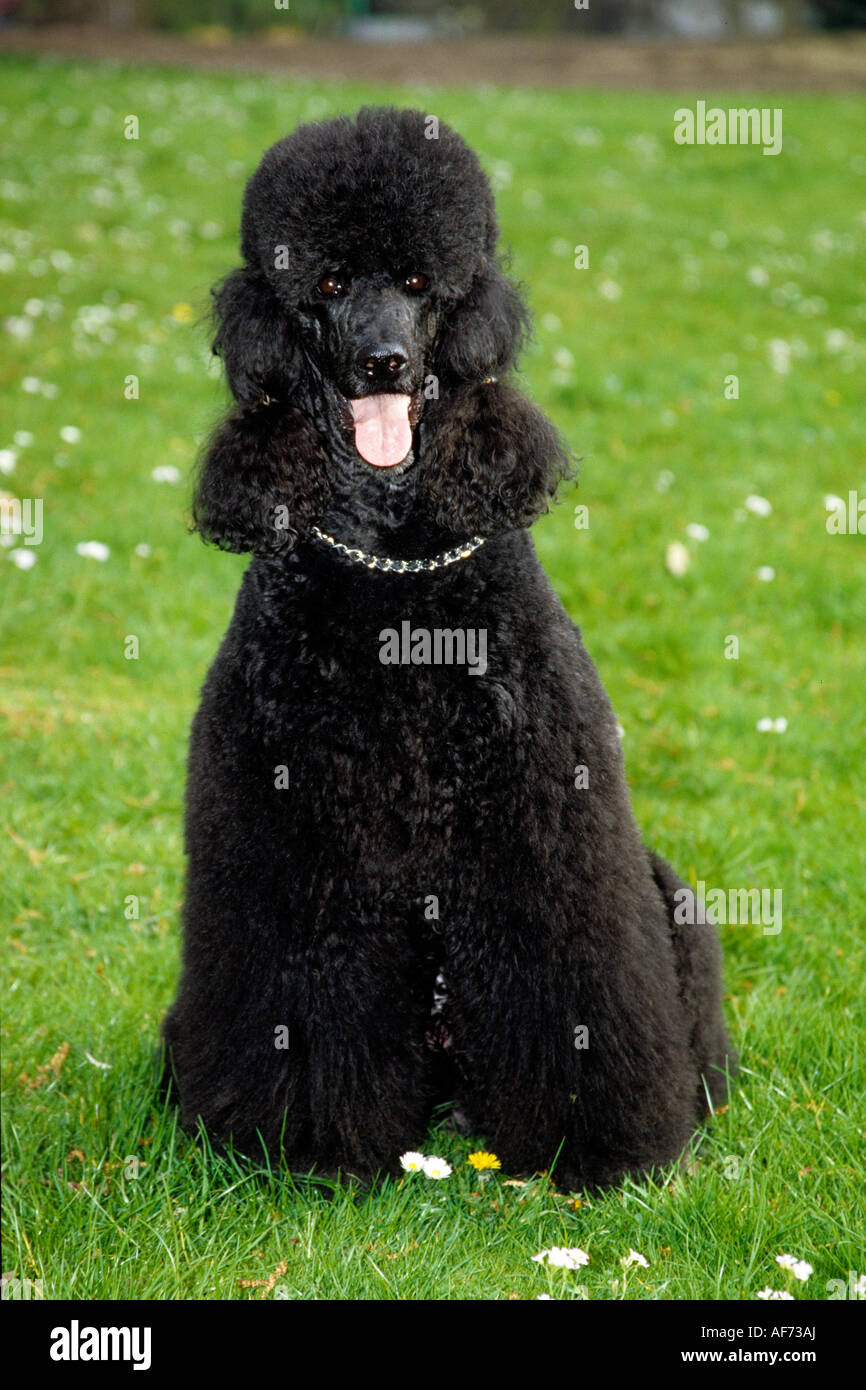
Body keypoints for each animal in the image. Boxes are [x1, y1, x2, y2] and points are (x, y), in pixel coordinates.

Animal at [161, 105, 733, 1195]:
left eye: (422, 282)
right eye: (328, 284)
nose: (384, 360)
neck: (395, 578)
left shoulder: (540, 826)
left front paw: (588, 1150)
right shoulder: (295, 845)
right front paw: (311, 1150)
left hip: (669, 898)